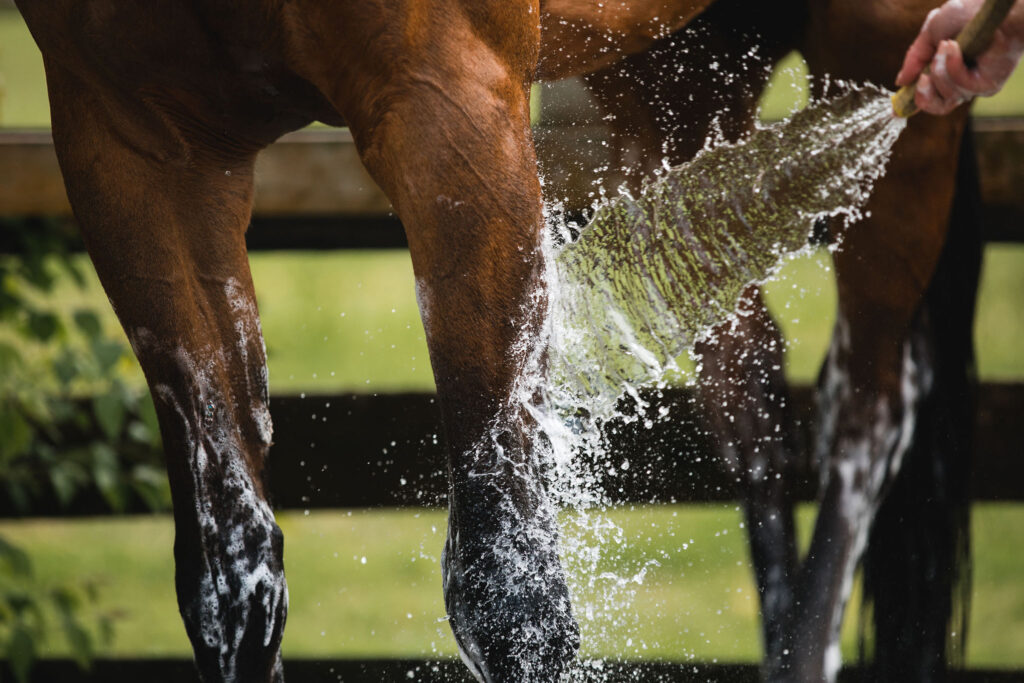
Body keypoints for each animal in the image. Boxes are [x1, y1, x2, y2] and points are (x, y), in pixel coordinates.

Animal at [9, 1, 974, 683]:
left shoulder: (452, 105)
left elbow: (507, 589)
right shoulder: (134, 147)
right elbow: (231, 589)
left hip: (881, 54)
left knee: (868, 411)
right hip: (673, 82)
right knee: (752, 389)